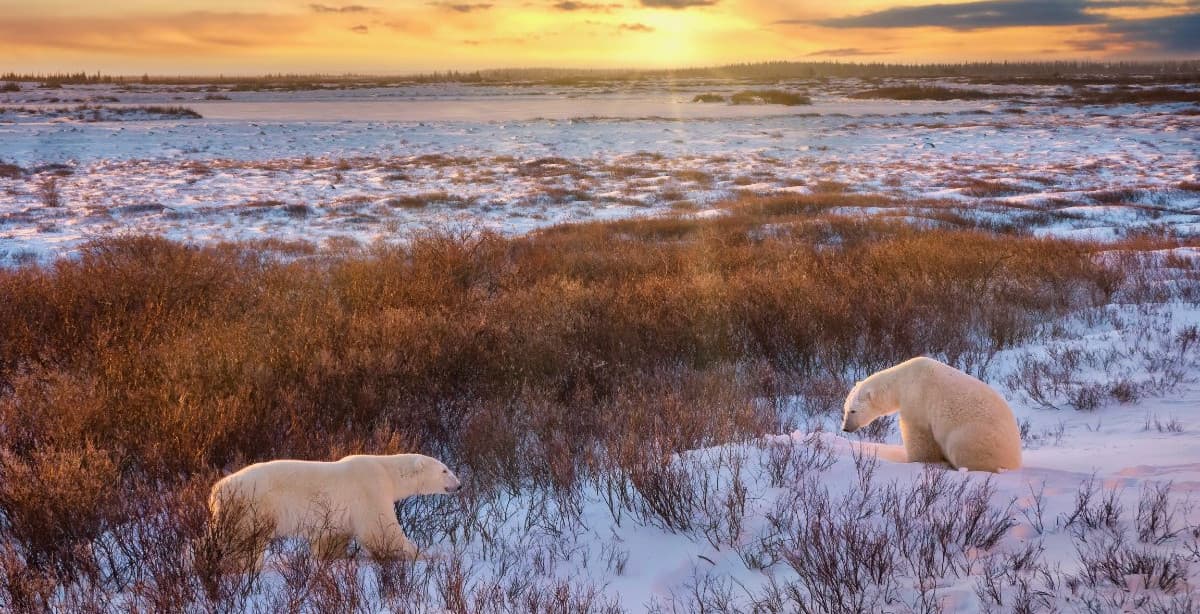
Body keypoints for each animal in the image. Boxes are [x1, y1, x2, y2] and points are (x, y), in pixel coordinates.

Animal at [208, 453, 461, 570]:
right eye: (445, 470)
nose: (459, 485)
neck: (386, 470)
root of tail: (216, 491)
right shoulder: (370, 489)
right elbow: (382, 531)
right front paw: (426, 554)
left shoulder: (338, 513)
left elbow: (332, 536)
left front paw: (331, 557)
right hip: (252, 506)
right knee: (247, 540)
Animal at [841, 356, 1022, 473]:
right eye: (845, 409)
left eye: (853, 411)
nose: (845, 428)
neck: (903, 379)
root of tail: (1015, 458)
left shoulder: (917, 398)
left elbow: (918, 434)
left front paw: (917, 460)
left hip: (973, 436)